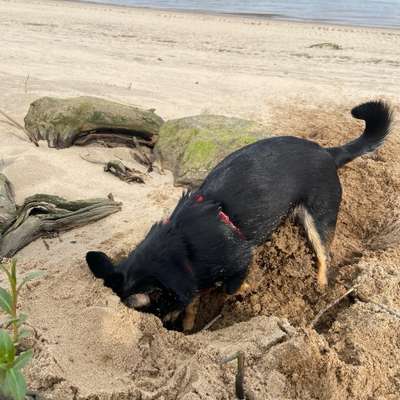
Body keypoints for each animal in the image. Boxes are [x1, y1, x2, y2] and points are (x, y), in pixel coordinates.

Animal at [86, 100, 392, 332]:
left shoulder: (240, 258)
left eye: (160, 313)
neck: (183, 246)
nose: (169, 331)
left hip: (320, 216)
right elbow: (196, 299)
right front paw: (190, 322)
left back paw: (320, 284)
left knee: (325, 255)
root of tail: (328, 152)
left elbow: (231, 287)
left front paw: (245, 287)